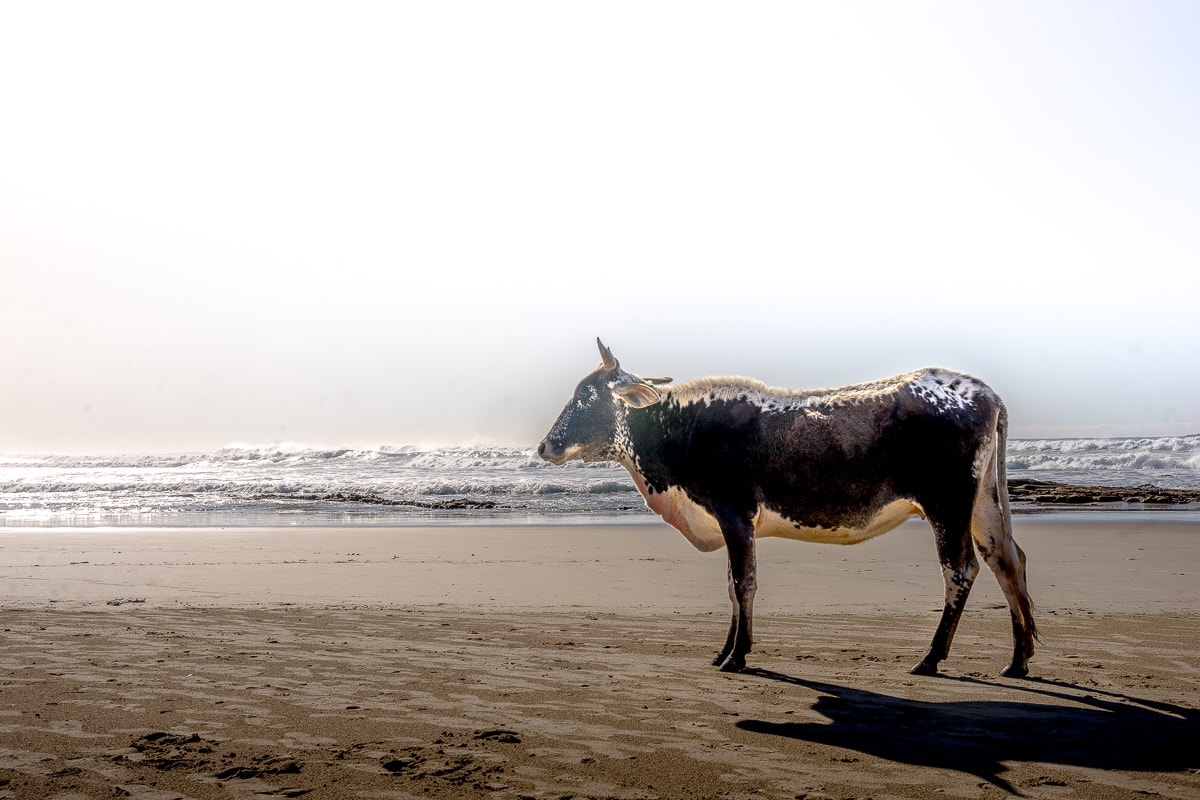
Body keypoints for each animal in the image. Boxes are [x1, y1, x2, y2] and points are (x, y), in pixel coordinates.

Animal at [538, 339, 1037, 678]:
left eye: (585, 395)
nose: (545, 446)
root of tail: (984, 392)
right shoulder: (733, 521)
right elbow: (731, 586)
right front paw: (724, 651)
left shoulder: (734, 513)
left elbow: (744, 583)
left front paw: (738, 656)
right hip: (982, 505)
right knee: (1007, 560)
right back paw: (1018, 659)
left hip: (947, 505)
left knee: (961, 570)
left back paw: (931, 658)